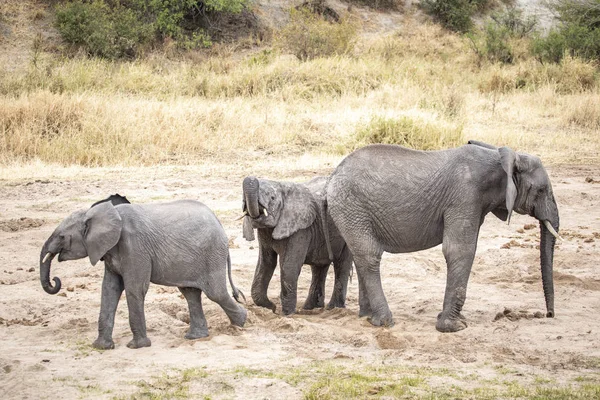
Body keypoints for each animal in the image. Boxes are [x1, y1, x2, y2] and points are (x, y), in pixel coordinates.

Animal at [39, 202, 246, 348]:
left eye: (61, 237)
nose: (55, 280)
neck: (101, 212)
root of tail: (219, 223)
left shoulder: (135, 247)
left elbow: (134, 289)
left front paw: (137, 346)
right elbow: (109, 290)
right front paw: (100, 347)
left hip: (212, 253)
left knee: (215, 293)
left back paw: (241, 324)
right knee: (190, 293)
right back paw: (195, 337)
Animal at [239, 175, 352, 316]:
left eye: (272, 198)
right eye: (242, 198)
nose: (251, 178)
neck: (282, 186)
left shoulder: (300, 229)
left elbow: (289, 266)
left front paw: (287, 314)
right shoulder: (265, 232)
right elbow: (265, 264)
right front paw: (271, 308)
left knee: (342, 264)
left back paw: (333, 309)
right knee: (319, 267)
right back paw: (310, 308)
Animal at [326, 142, 560, 332]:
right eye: (541, 190)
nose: (548, 314)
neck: (500, 157)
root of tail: (333, 174)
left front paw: (457, 321)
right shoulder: (465, 197)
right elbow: (460, 250)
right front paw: (453, 327)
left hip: (350, 211)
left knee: (360, 256)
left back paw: (369, 318)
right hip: (352, 207)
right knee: (369, 256)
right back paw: (385, 322)